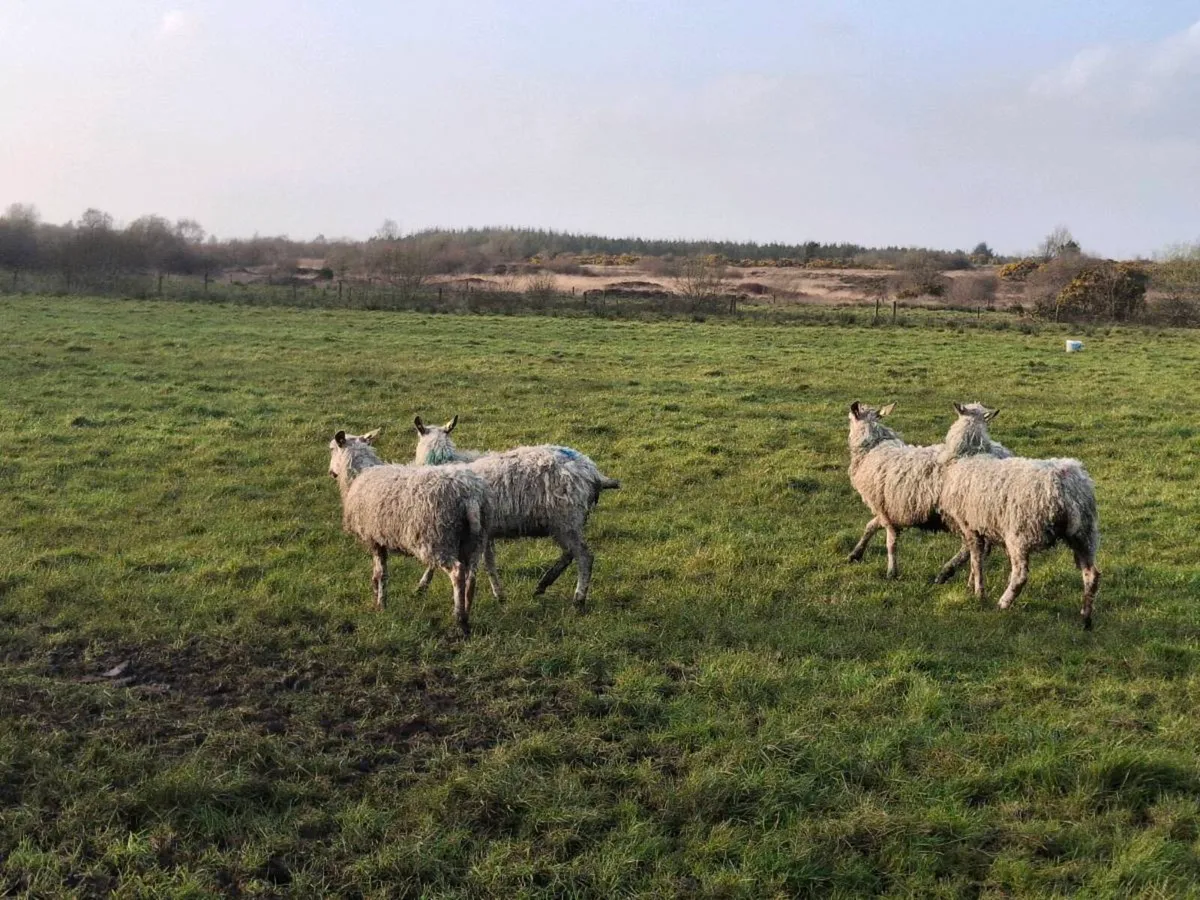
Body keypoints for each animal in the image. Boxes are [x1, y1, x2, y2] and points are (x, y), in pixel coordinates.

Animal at [327, 428, 492, 636]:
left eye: (332, 449)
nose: (331, 472)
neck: (359, 475)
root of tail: (469, 497)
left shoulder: (373, 538)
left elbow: (380, 573)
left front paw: (380, 604)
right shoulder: (380, 538)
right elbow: (378, 574)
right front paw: (378, 597)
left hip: (438, 539)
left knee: (457, 573)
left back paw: (459, 619)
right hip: (474, 539)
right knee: (471, 576)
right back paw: (467, 613)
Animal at [411, 415, 620, 609]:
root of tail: (594, 473)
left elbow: (439, 561)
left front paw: (421, 587)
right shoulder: (484, 532)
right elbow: (489, 562)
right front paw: (499, 594)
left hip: (566, 520)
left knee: (584, 557)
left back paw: (578, 598)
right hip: (565, 523)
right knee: (570, 553)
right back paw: (543, 584)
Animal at [846, 401, 1012, 581]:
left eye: (850, 419)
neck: (872, 447)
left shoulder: (886, 509)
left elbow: (890, 542)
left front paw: (891, 572)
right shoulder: (890, 511)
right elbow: (870, 526)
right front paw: (855, 554)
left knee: (973, 545)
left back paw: (947, 573)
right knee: (980, 546)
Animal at [937, 403, 1100, 629]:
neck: (969, 454)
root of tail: (1064, 482)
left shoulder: (969, 525)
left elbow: (976, 559)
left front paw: (978, 593)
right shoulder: (983, 526)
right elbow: (977, 558)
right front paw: (971, 585)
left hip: (1020, 534)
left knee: (1020, 575)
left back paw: (1003, 603)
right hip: (1084, 533)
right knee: (1091, 574)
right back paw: (1086, 617)